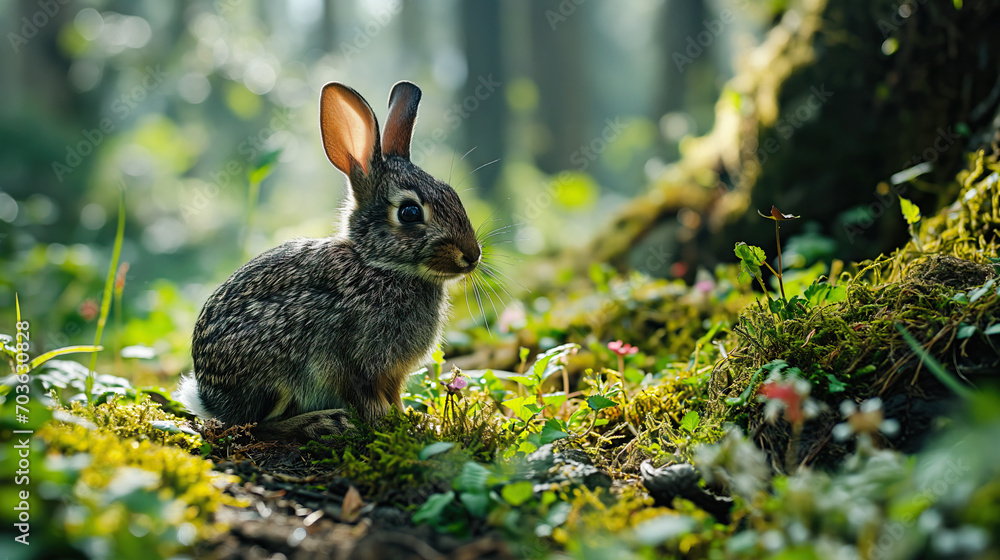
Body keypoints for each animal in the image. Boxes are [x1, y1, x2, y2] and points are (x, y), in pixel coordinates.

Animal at [174, 81, 482, 441]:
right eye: (409, 212)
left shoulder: (391, 374)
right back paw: (323, 422)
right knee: (255, 426)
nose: (472, 255)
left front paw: (410, 420)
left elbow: (393, 396)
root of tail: (209, 399)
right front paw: (387, 424)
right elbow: (364, 397)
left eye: (452, 194)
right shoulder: (347, 361)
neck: (379, 265)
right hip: (276, 366)